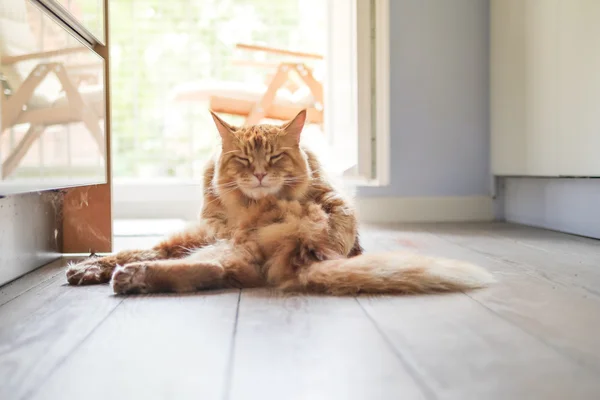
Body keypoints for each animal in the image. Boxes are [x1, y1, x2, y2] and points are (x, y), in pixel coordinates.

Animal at [68, 109, 494, 294]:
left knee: (215, 268)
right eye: (243, 159)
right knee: (191, 263)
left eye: (274, 157)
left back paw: (129, 278)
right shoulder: (208, 227)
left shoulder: (330, 200)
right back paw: (107, 272)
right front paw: (92, 265)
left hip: (232, 247)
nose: (259, 174)